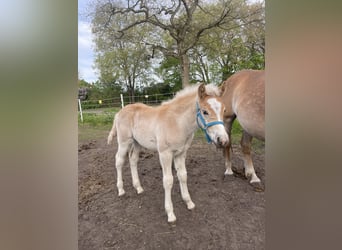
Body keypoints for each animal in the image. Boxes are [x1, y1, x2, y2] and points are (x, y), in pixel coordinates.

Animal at [108, 84, 228, 223]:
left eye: (224, 110)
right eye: (205, 112)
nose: (223, 140)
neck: (178, 123)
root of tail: (119, 112)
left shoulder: (181, 153)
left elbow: (183, 176)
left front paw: (189, 202)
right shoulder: (165, 154)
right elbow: (168, 181)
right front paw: (170, 213)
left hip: (137, 143)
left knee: (133, 160)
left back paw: (138, 187)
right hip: (124, 142)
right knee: (119, 161)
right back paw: (121, 189)